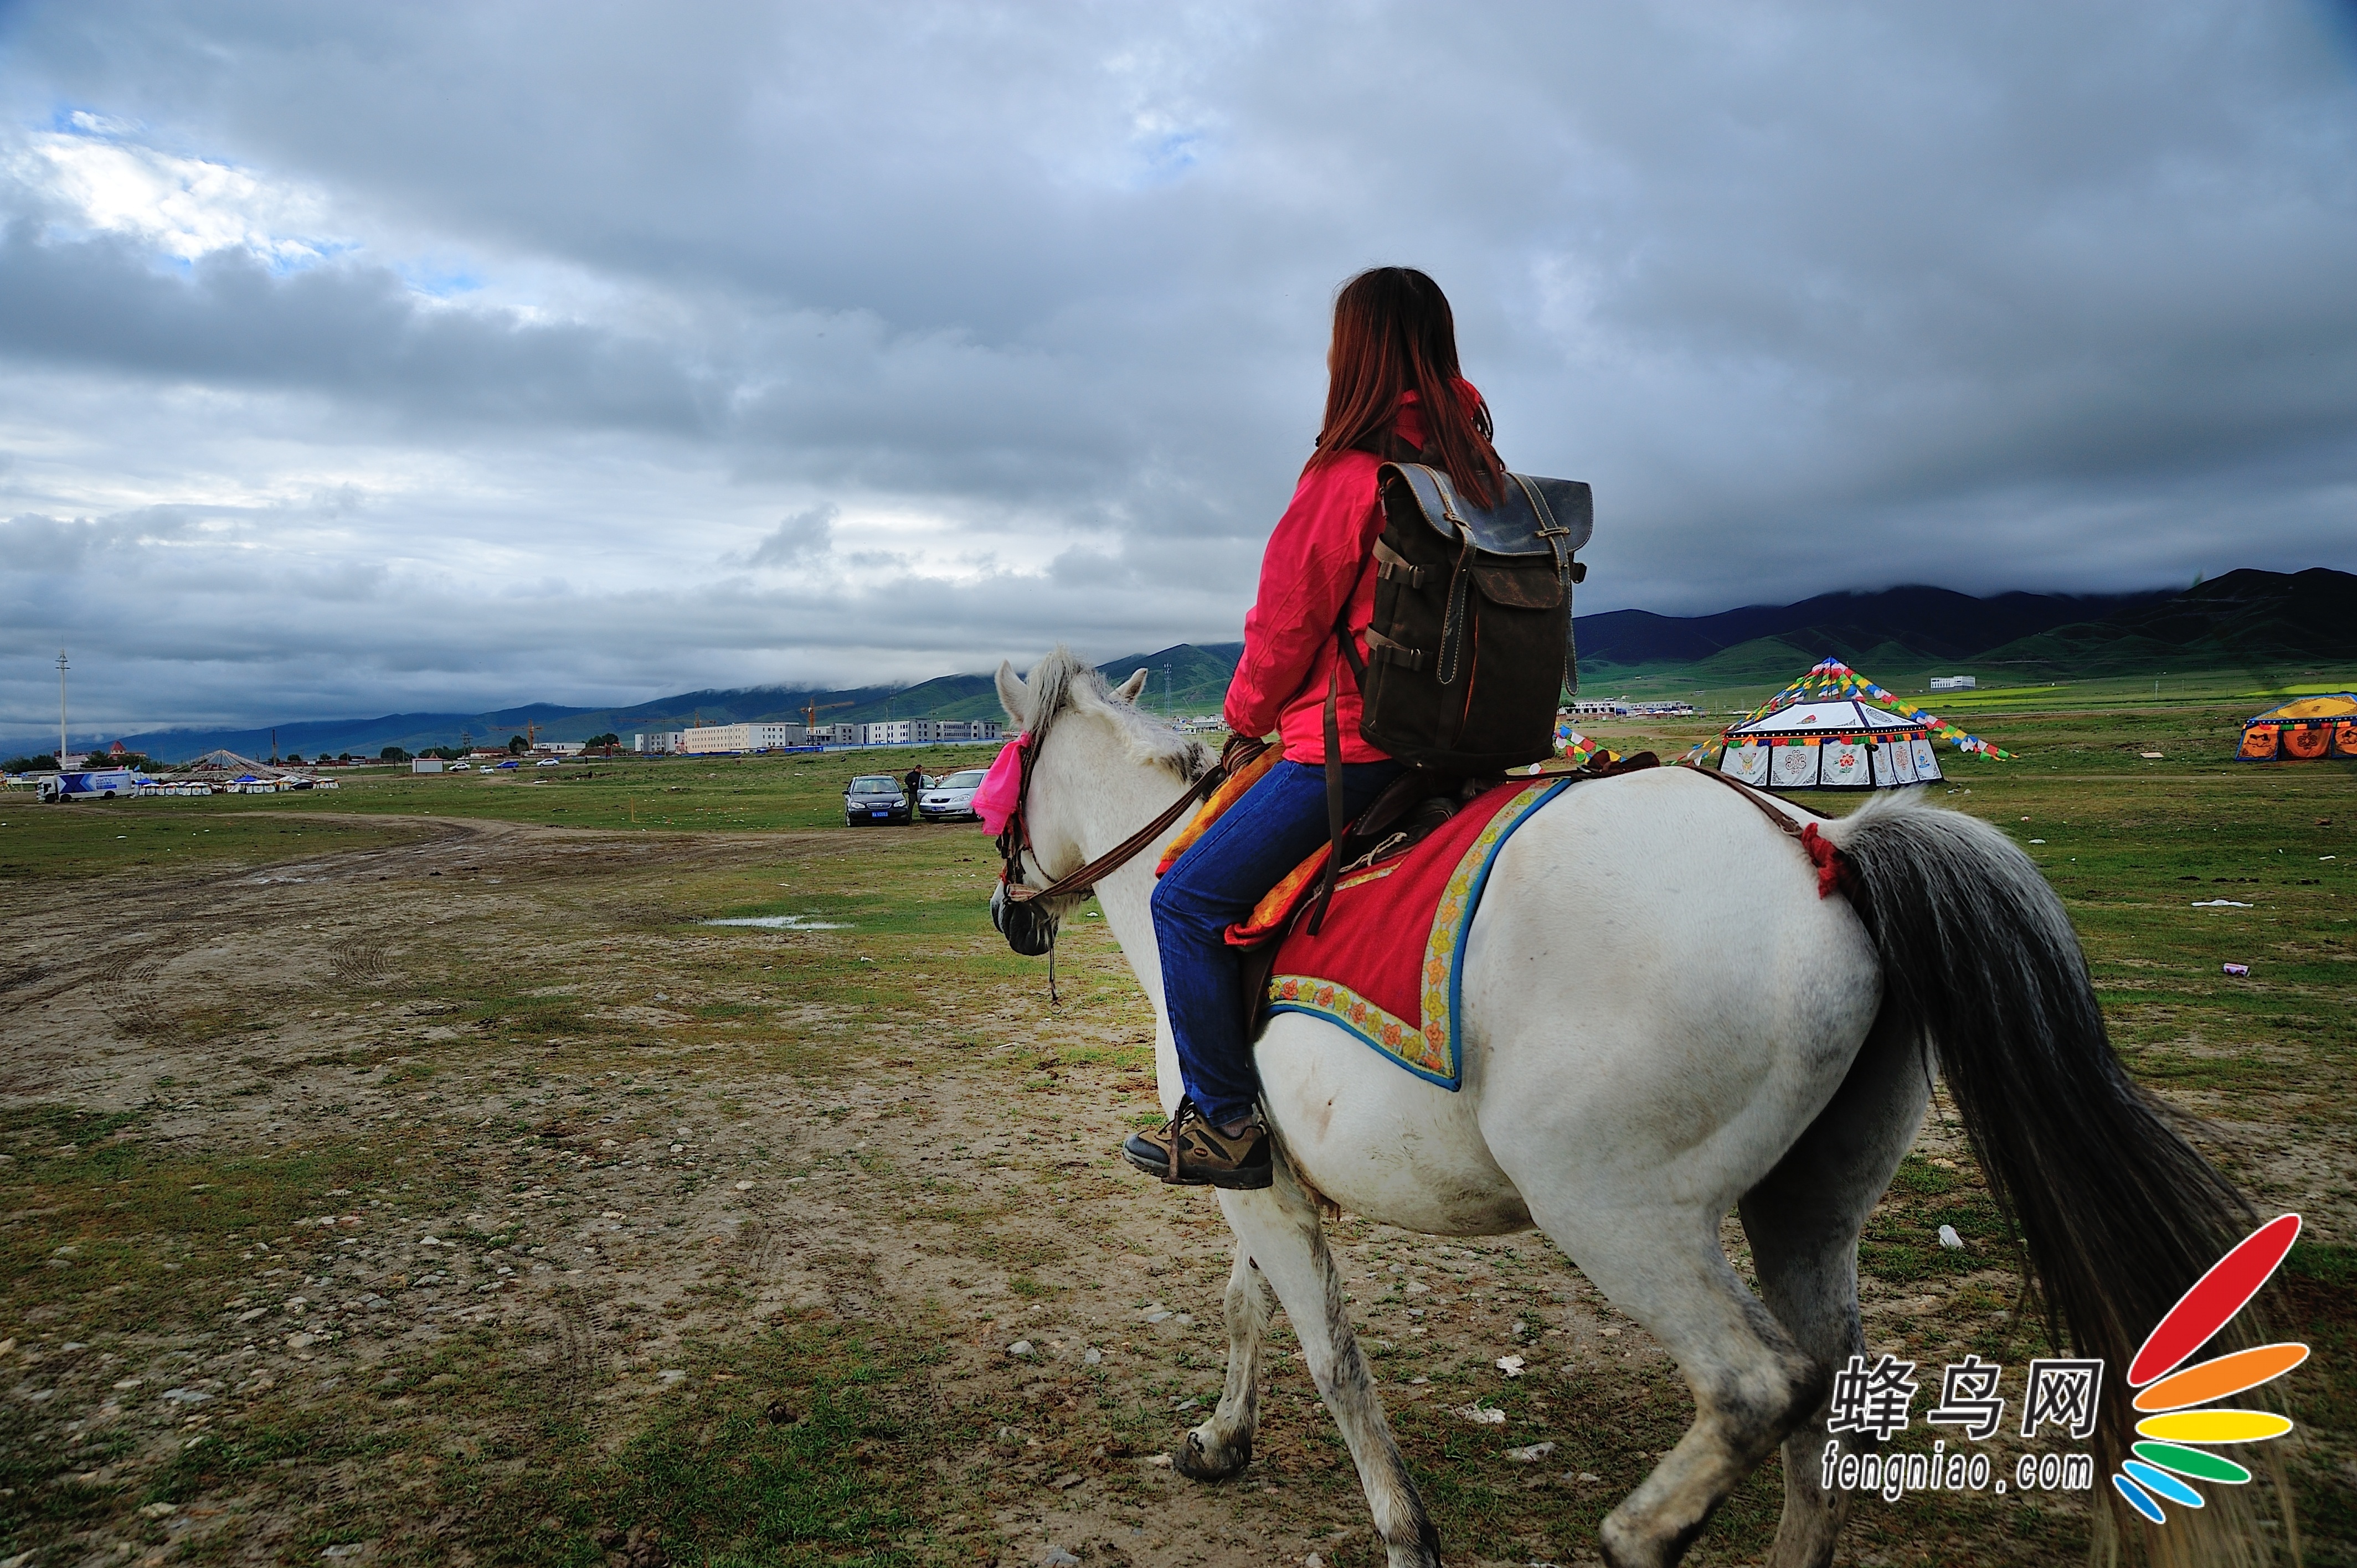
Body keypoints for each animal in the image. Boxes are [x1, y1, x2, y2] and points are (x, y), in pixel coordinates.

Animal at [990, 646, 2262, 1565]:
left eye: (1000, 777)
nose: (1008, 912)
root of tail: (1828, 849)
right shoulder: (1262, 1173)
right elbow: (1249, 1309)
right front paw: (1219, 1442)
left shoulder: (1256, 1186)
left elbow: (1331, 1356)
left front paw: (1404, 1534)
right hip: (1809, 1208)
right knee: (1829, 1406)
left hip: (1615, 1212)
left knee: (1756, 1388)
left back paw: (1639, 1532)